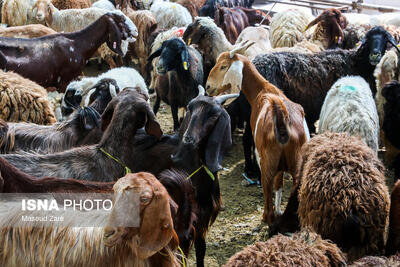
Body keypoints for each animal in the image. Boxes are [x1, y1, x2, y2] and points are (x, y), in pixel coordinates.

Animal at [206, 47, 310, 225]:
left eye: (223, 66)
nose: (208, 86)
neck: (263, 90)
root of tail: (282, 117)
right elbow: (279, 185)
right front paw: (279, 210)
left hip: (267, 162)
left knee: (267, 187)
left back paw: (266, 217)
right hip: (296, 164)